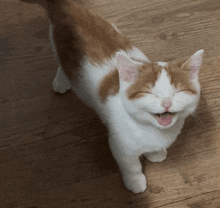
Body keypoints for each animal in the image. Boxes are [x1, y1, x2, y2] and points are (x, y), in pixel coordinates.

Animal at [22, 0, 203, 193]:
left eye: (178, 92)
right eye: (149, 92)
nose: (167, 103)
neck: (153, 131)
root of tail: (67, 6)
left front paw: (155, 152)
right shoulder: (120, 145)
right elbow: (131, 165)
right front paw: (135, 181)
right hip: (58, 46)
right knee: (62, 64)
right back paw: (61, 81)